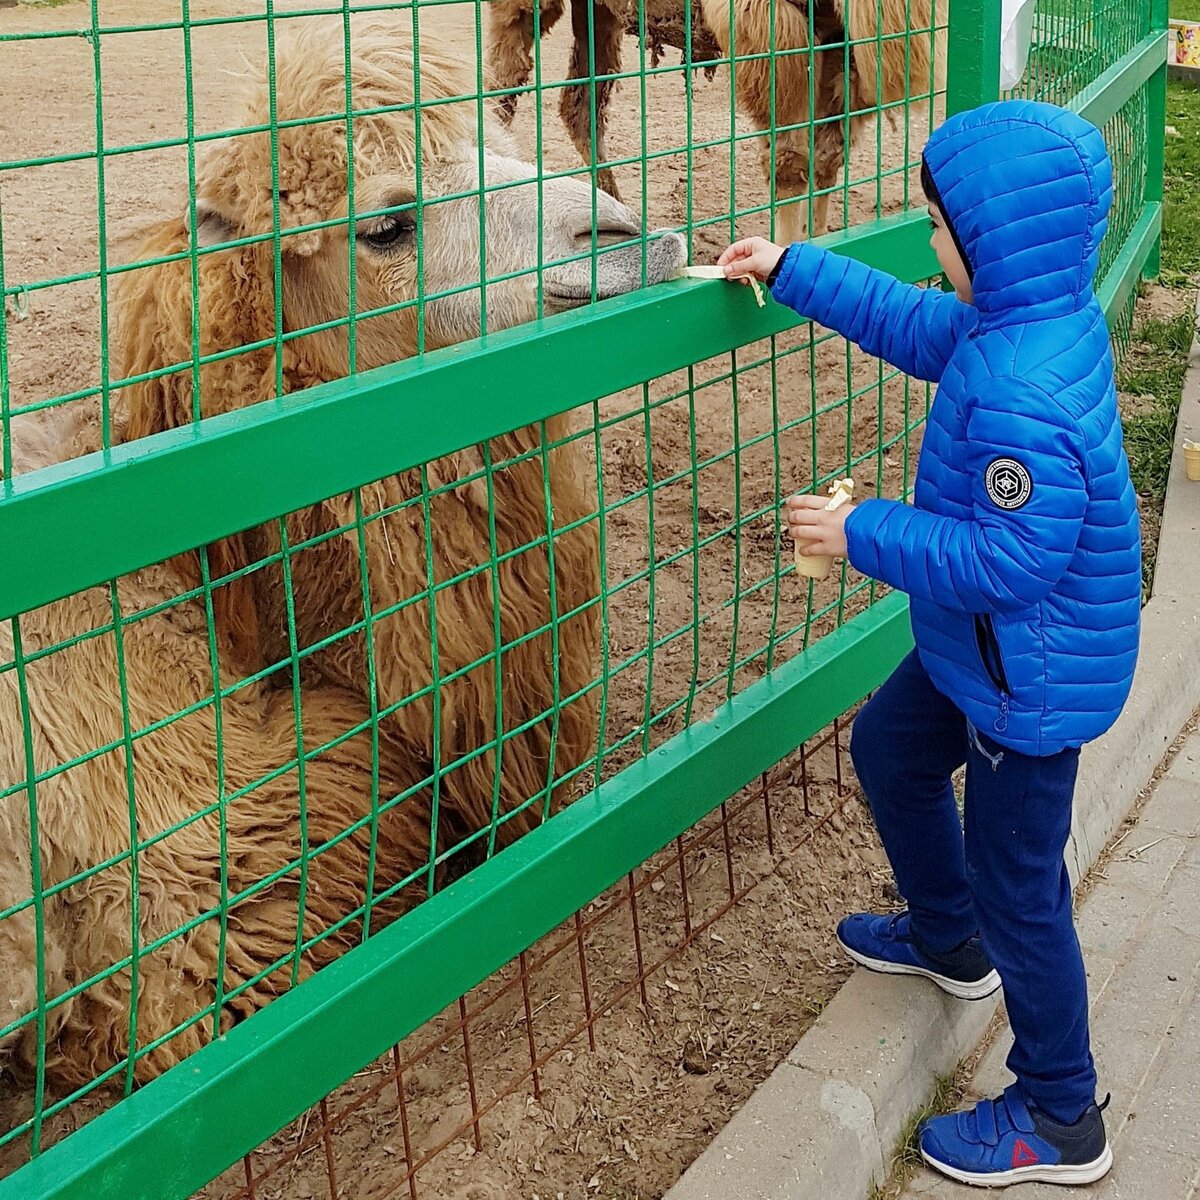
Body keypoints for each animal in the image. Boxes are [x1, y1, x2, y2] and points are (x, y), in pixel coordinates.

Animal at [484, 0, 936, 243]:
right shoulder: (771, 29)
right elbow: (791, 161)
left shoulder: (835, 38)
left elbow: (827, 156)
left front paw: (826, 239)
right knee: (501, 90)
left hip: (599, 13)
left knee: (579, 106)